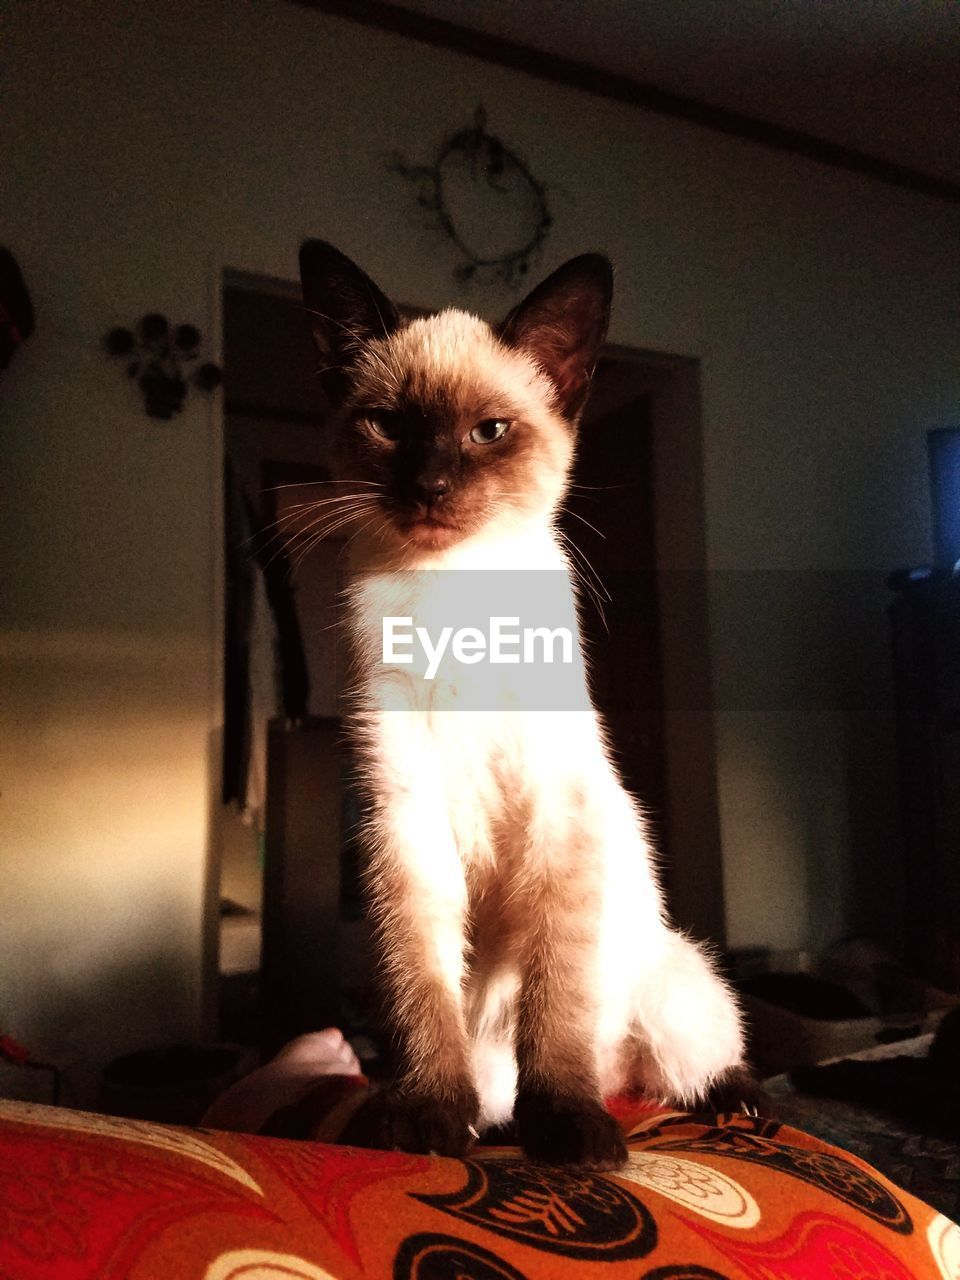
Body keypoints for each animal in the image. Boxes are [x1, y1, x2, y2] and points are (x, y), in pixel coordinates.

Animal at [299, 241, 752, 1172]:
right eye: (388, 426)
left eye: (489, 432)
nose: (431, 485)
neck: (449, 591)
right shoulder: (402, 817)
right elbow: (419, 986)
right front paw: (428, 1119)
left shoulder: (556, 809)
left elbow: (555, 1000)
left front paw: (572, 1133)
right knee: (525, 1075)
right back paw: (487, 1120)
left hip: (678, 1002)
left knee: (676, 1065)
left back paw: (716, 1106)